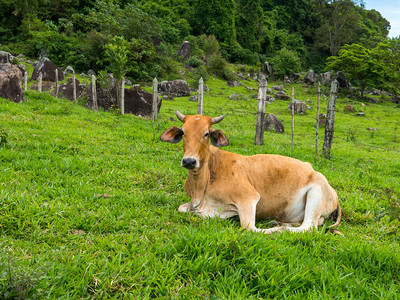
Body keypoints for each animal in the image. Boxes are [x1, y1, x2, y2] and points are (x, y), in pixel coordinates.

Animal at [161, 111, 342, 233]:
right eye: (183, 132)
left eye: (206, 133)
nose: (189, 161)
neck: (201, 186)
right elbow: (182, 208)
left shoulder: (248, 197)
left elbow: (249, 228)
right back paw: (279, 223)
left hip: (316, 193)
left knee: (308, 227)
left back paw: (281, 227)